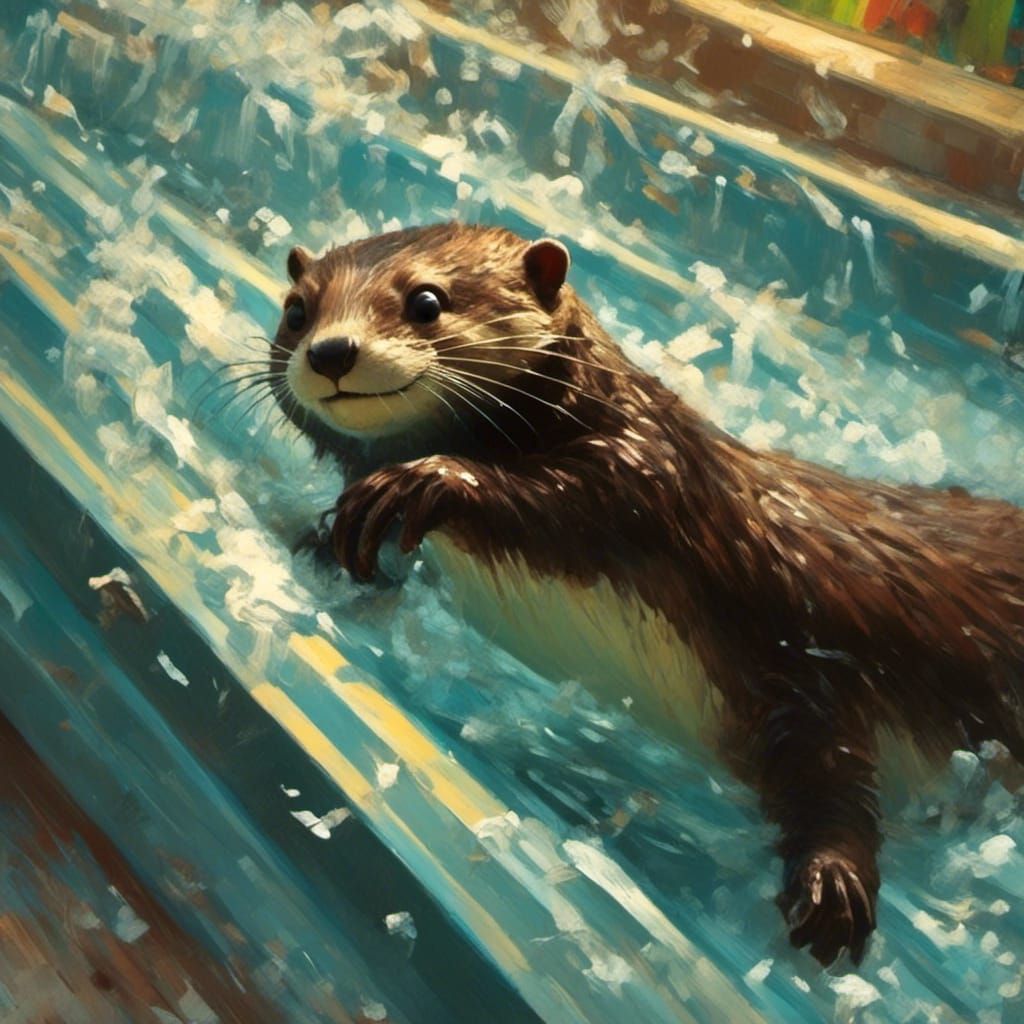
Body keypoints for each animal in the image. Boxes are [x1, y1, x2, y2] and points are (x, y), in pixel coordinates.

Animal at [267, 223, 1024, 967]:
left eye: (427, 301)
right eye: (297, 310)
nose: (330, 350)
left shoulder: (772, 611)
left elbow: (832, 773)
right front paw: (322, 540)